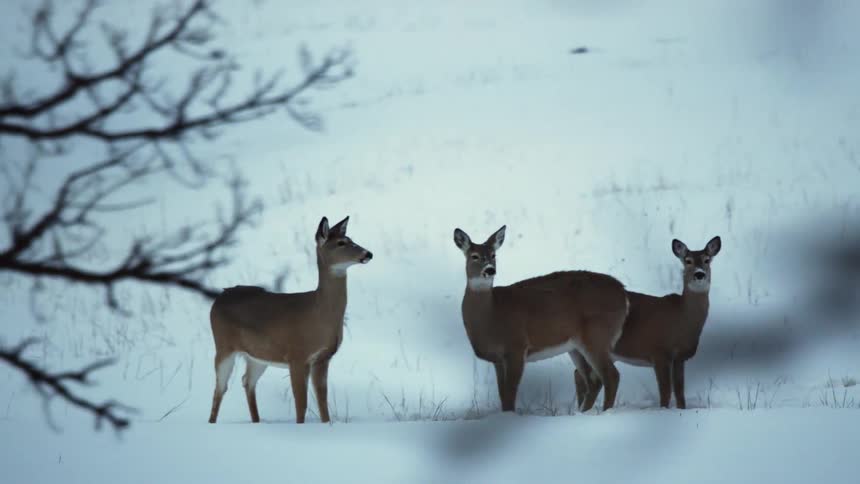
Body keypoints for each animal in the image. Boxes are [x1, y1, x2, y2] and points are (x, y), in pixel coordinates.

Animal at [207, 216, 373, 424]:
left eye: (352, 239)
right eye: (341, 243)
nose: (368, 253)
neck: (319, 314)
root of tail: (219, 297)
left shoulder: (322, 358)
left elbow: (322, 401)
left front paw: (326, 425)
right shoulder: (297, 355)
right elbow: (301, 403)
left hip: (258, 355)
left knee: (247, 381)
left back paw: (257, 421)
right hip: (223, 346)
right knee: (220, 388)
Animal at [453, 226, 630, 413]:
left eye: (494, 255)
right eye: (474, 256)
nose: (489, 270)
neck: (492, 316)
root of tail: (623, 292)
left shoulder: (517, 346)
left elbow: (510, 394)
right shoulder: (498, 359)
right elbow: (503, 396)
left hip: (597, 336)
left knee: (611, 376)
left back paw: (605, 412)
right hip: (576, 346)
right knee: (593, 381)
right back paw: (582, 412)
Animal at [574, 236, 722, 410]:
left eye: (707, 260)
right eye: (688, 261)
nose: (699, 274)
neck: (681, 319)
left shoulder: (680, 358)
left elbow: (680, 393)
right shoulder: (659, 352)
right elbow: (665, 391)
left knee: (580, 376)